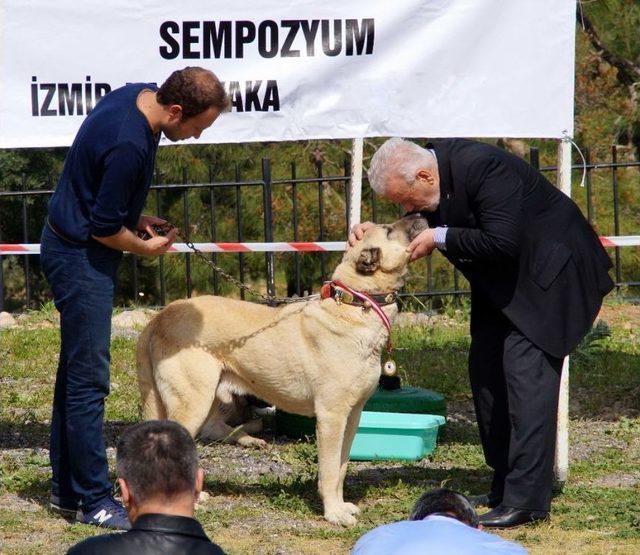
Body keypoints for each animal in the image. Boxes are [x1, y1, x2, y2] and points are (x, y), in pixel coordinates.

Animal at [138, 216, 428, 524]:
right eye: (389, 230)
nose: (421, 215)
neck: (357, 303)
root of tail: (159, 317)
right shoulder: (332, 416)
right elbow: (328, 471)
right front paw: (333, 513)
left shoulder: (352, 415)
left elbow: (341, 468)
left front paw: (340, 506)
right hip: (194, 402)